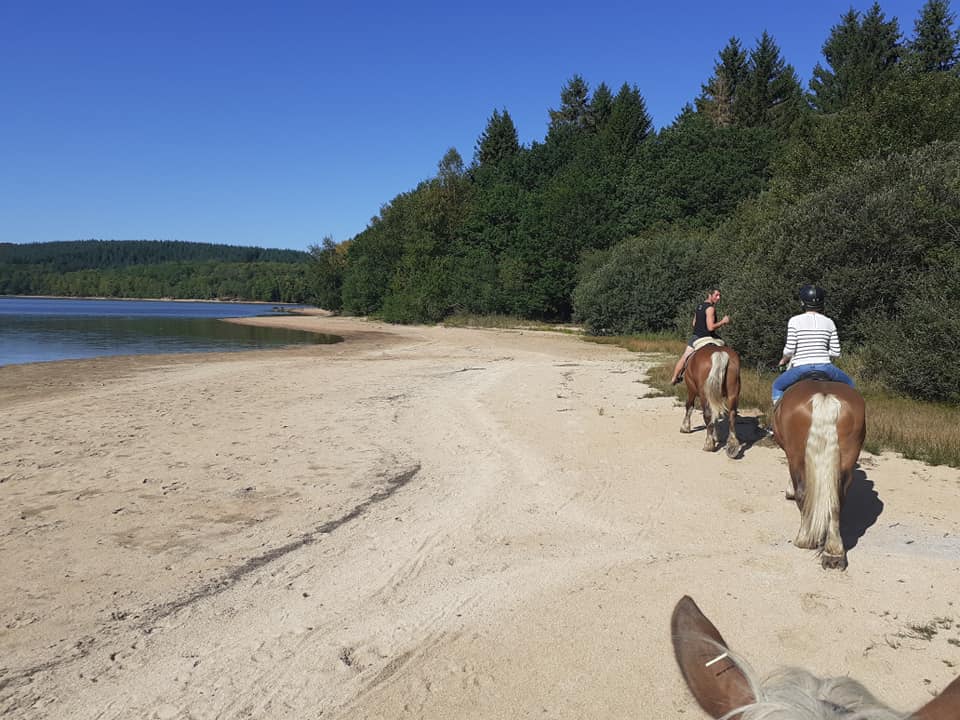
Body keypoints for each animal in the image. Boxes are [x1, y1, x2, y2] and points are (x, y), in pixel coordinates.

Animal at [772, 380, 872, 572]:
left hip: (796, 455)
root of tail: (825, 397)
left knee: (803, 493)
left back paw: (804, 538)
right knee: (836, 500)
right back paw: (834, 553)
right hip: (847, 459)